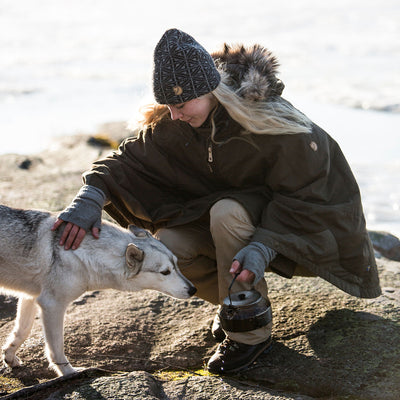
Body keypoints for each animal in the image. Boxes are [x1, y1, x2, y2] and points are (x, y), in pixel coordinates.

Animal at [0, 205, 197, 376]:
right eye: (165, 272)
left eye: (177, 265)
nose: (193, 290)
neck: (85, 254)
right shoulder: (51, 305)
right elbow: (56, 348)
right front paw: (68, 373)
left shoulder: (31, 298)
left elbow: (22, 331)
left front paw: (9, 357)